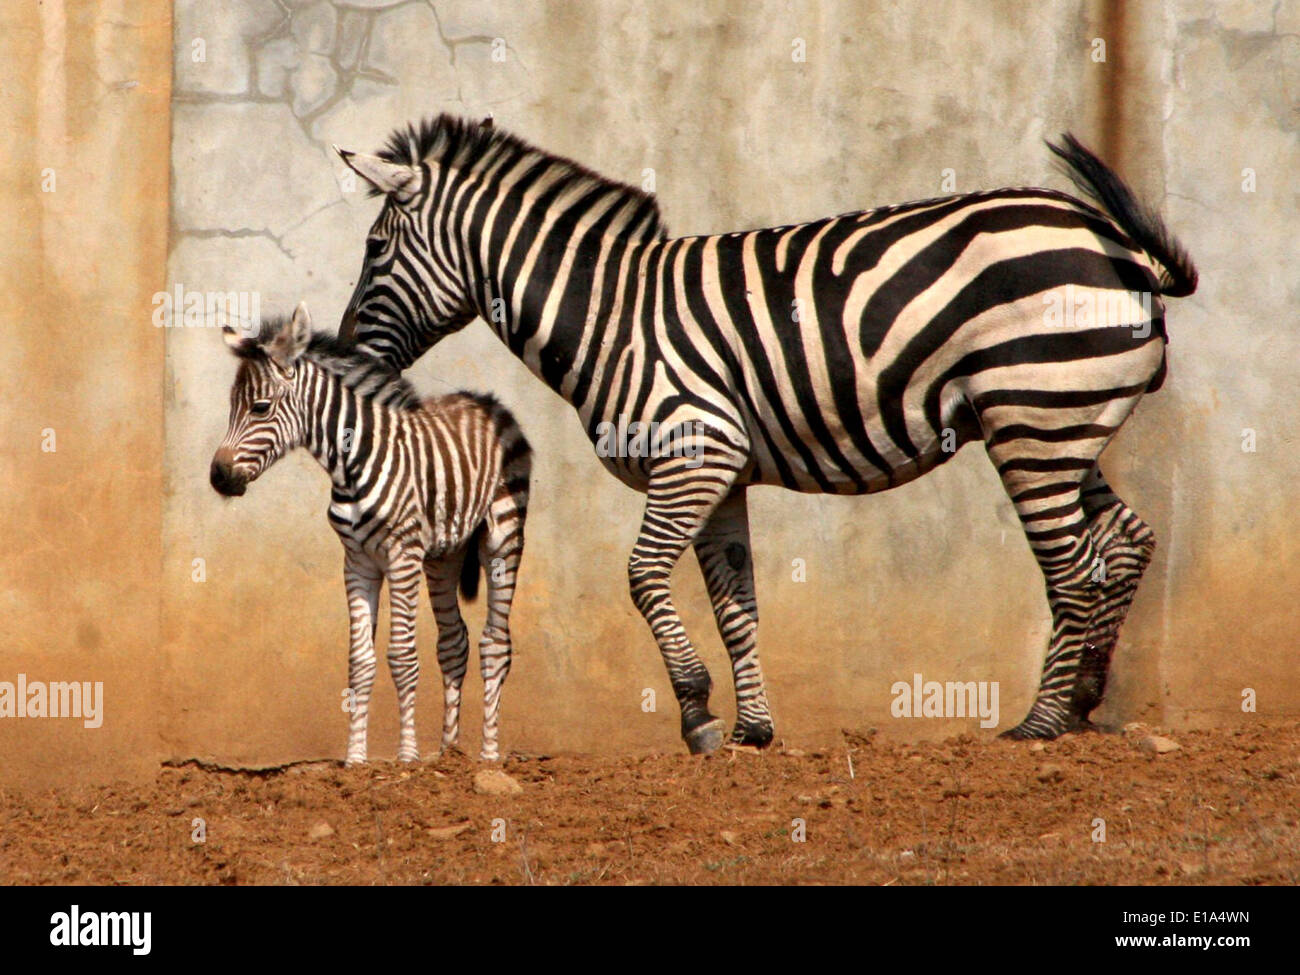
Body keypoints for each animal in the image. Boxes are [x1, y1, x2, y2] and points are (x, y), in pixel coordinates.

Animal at [208, 301, 527, 769]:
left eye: (261, 408)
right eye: (233, 405)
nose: (218, 477)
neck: (351, 463)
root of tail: (488, 400)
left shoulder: (402, 554)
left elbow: (402, 655)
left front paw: (407, 757)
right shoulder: (357, 561)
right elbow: (360, 661)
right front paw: (355, 760)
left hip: (503, 535)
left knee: (495, 644)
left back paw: (488, 755)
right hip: (444, 554)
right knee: (454, 641)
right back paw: (449, 754)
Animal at [332, 116, 1196, 754]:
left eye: (374, 248)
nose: (345, 353)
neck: (610, 317)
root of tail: (1123, 253)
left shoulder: (695, 452)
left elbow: (643, 576)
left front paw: (697, 715)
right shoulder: (724, 476)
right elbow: (735, 605)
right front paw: (753, 728)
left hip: (1032, 419)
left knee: (1073, 566)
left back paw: (1040, 723)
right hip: (1062, 419)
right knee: (1127, 539)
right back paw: (1084, 700)